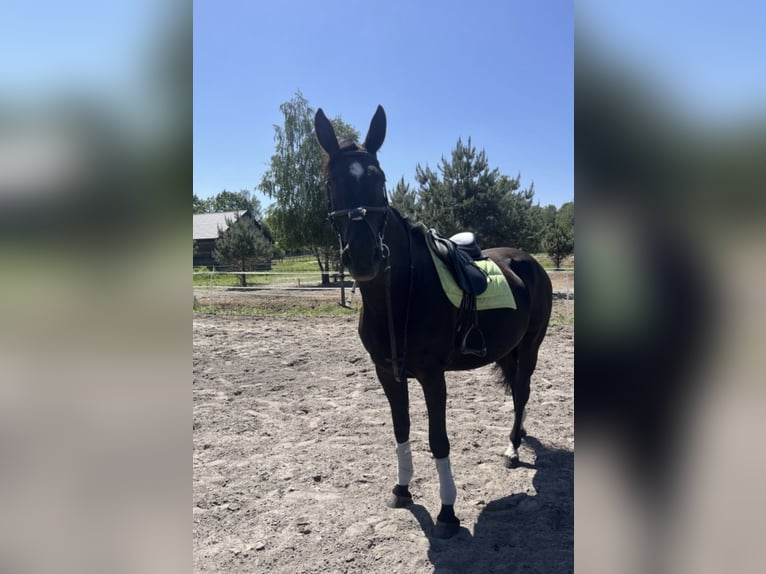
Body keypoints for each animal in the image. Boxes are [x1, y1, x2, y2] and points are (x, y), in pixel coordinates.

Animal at [314, 105, 553, 538]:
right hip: (507, 350)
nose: (363, 256)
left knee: (522, 393)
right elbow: (402, 429)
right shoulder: (387, 374)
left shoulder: (431, 374)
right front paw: (402, 489)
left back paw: (512, 447)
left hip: (529, 347)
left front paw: (447, 512)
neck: (397, 297)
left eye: (379, 179)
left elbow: (438, 439)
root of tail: (528, 261)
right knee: (517, 393)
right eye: (331, 182)